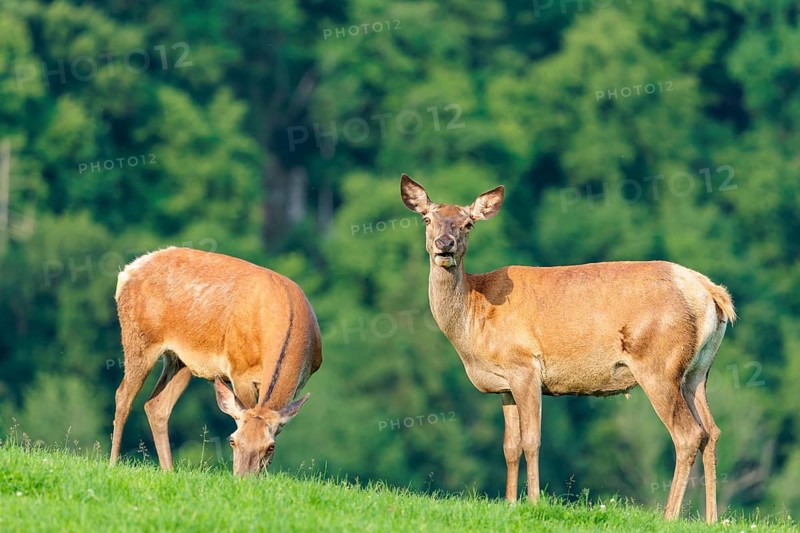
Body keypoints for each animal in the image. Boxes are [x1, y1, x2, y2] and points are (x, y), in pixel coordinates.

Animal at [109, 246, 322, 475]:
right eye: (233, 440)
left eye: (270, 447)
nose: (243, 477)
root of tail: (128, 271)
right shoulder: (240, 371)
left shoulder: (300, 382)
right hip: (139, 338)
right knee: (123, 396)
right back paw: (113, 463)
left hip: (181, 360)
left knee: (156, 405)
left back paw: (169, 470)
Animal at [400, 174, 735, 523]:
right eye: (427, 219)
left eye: (468, 224)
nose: (444, 244)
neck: (475, 319)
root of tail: (710, 292)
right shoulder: (504, 385)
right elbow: (509, 446)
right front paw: (509, 503)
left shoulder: (524, 366)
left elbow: (531, 440)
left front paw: (533, 502)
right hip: (697, 372)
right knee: (711, 431)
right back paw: (712, 518)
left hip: (658, 364)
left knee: (688, 434)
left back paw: (669, 515)